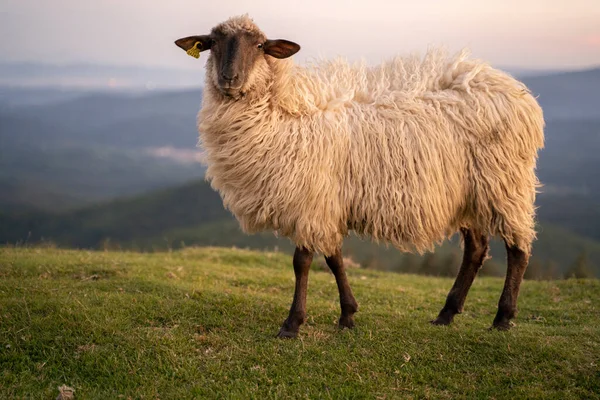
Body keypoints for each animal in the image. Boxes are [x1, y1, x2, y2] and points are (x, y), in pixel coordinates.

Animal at [173, 14, 544, 338]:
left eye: (261, 45)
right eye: (212, 43)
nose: (229, 78)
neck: (283, 115)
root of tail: (512, 88)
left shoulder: (310, 200)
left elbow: (302, 262)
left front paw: (292, 325)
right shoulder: (326, 202)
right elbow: (334, 258)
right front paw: (348, 316)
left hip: (504, 183)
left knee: (518, 248)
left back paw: (502, 318)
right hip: (469, 193)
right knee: (477, 249)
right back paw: (446, 314)